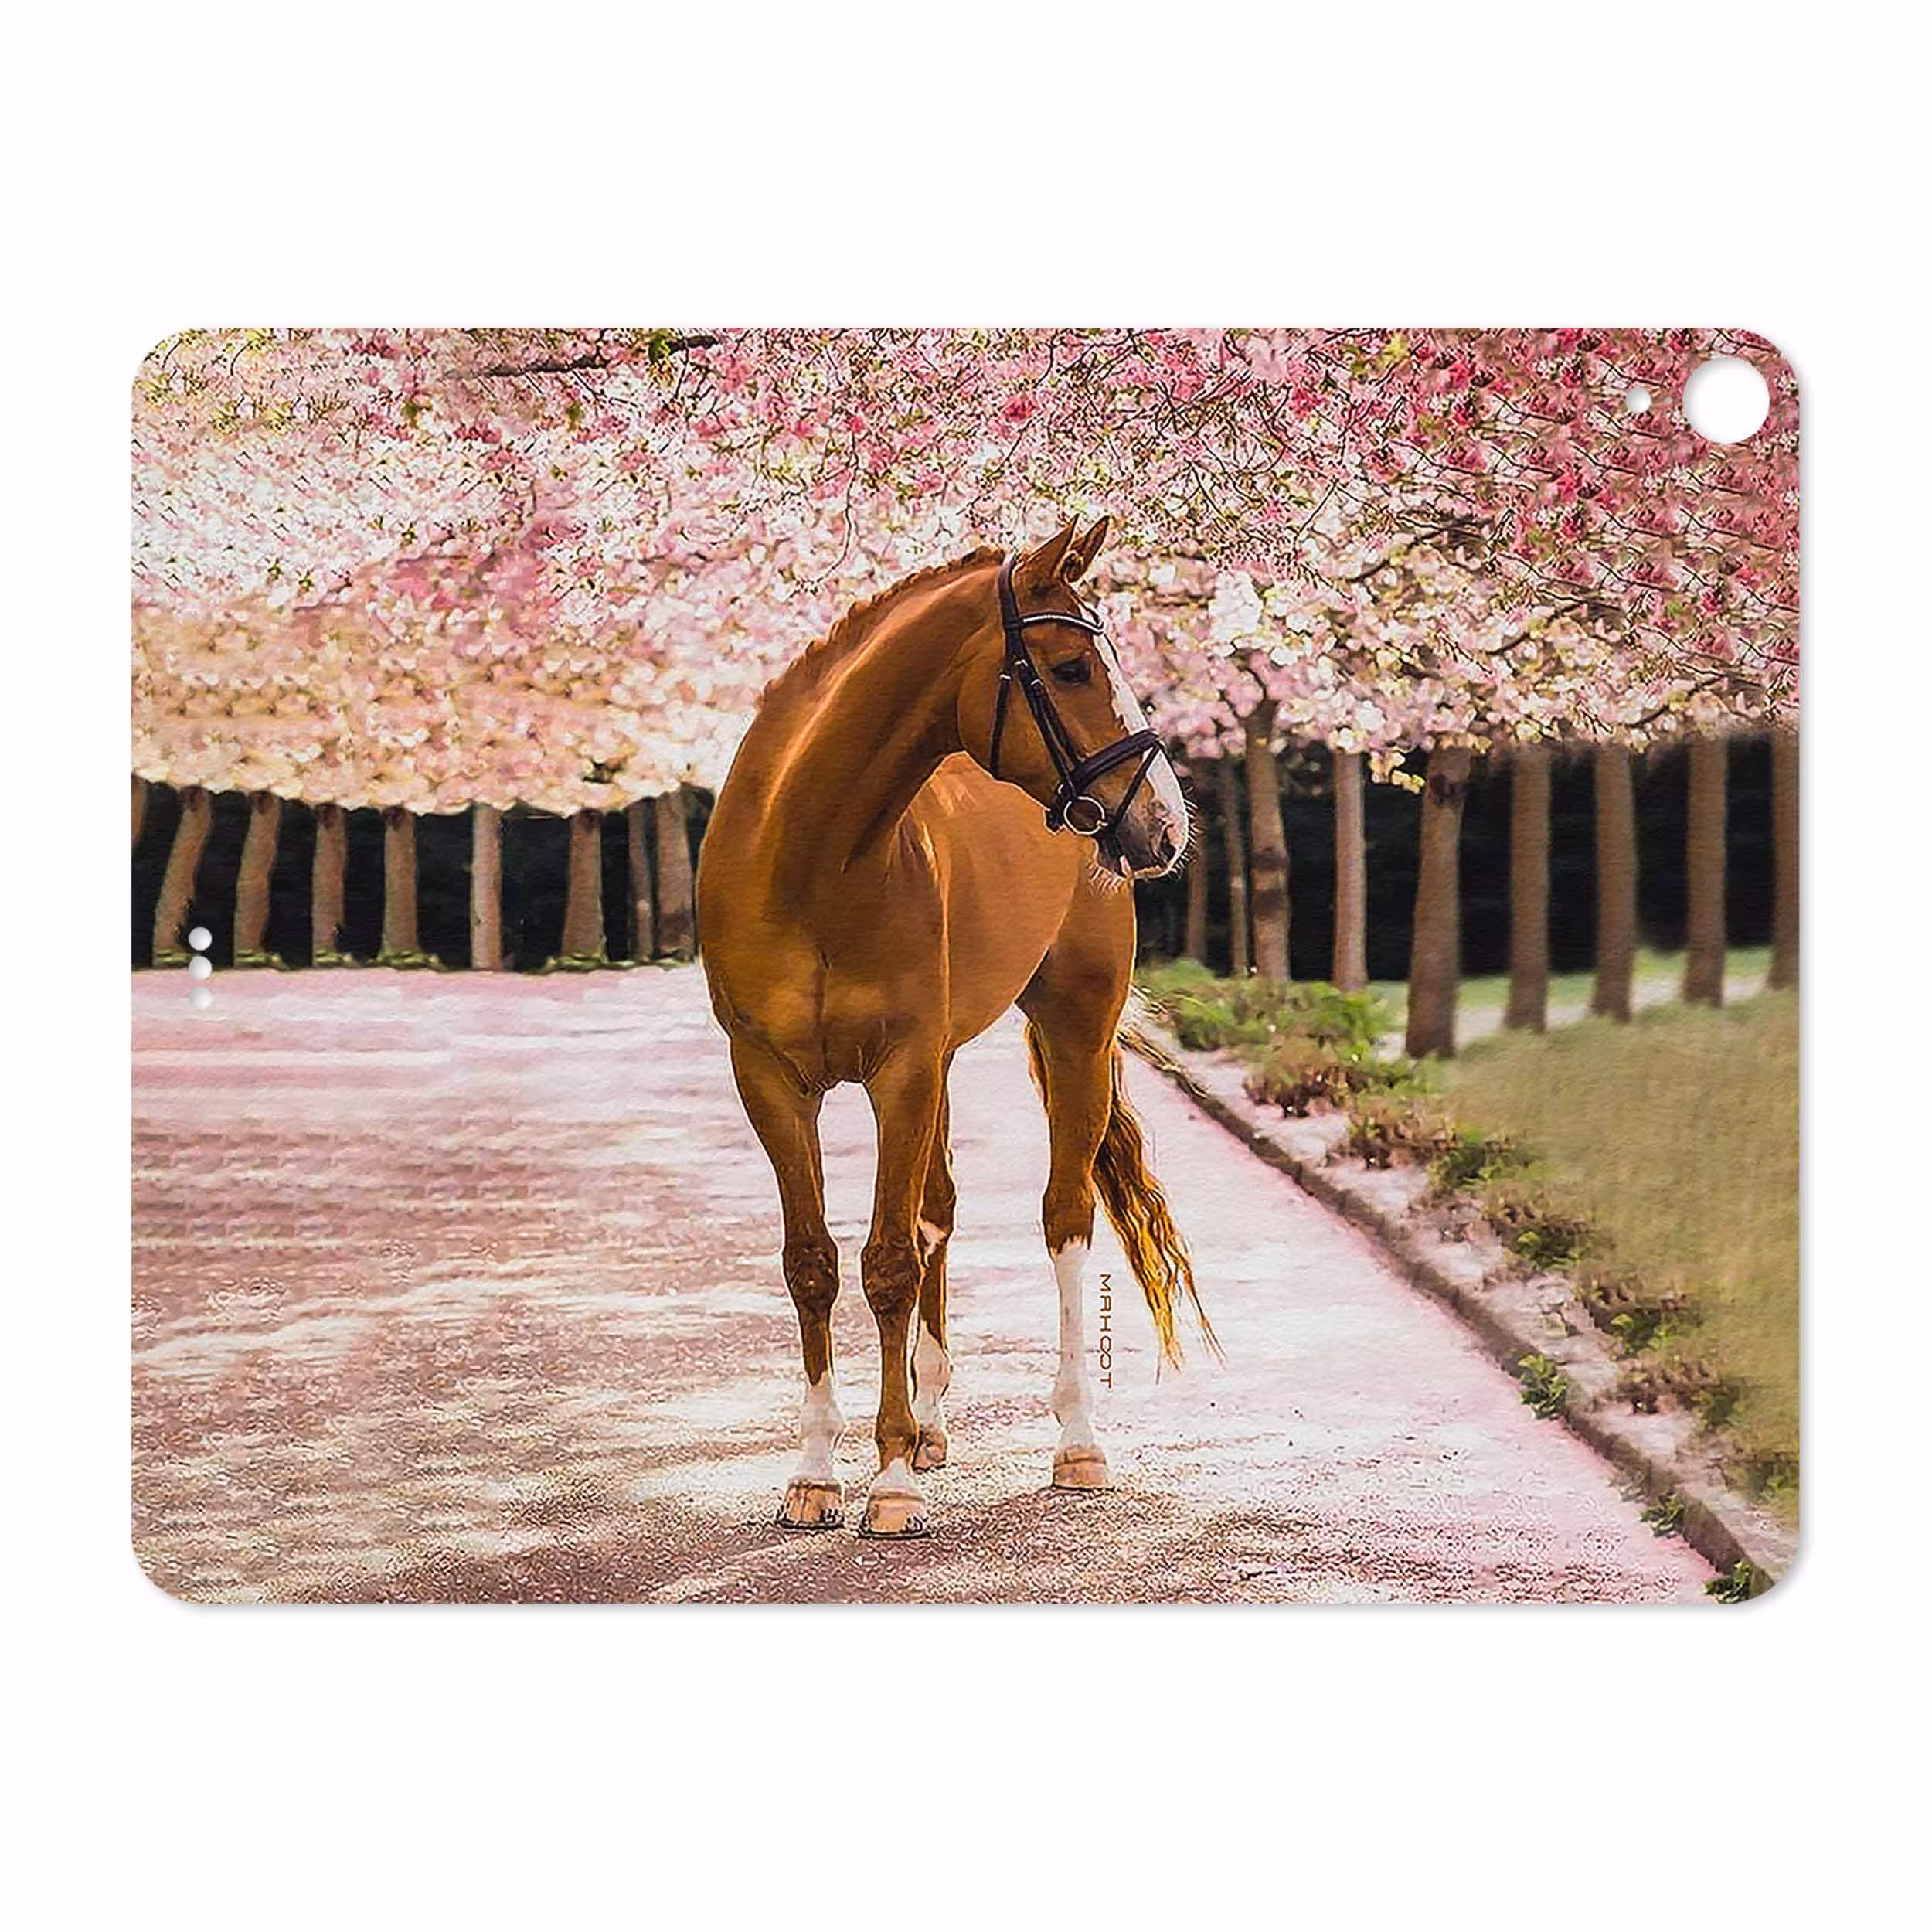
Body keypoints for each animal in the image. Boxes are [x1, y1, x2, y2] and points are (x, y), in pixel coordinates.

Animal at [697, 517, 1214, 1537]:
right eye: (1068, 667)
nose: (1165, 825)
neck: (809, 857)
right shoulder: (769, 1078)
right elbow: (813, 1262)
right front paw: (817, 1473)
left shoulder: (899, 1070)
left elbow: (889, 1261)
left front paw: (889, 1480)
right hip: (937, 1065)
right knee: (937, 1209)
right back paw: (932, 1424)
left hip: (1072, 1032)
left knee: (1062, 1218)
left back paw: (1074, 1441)